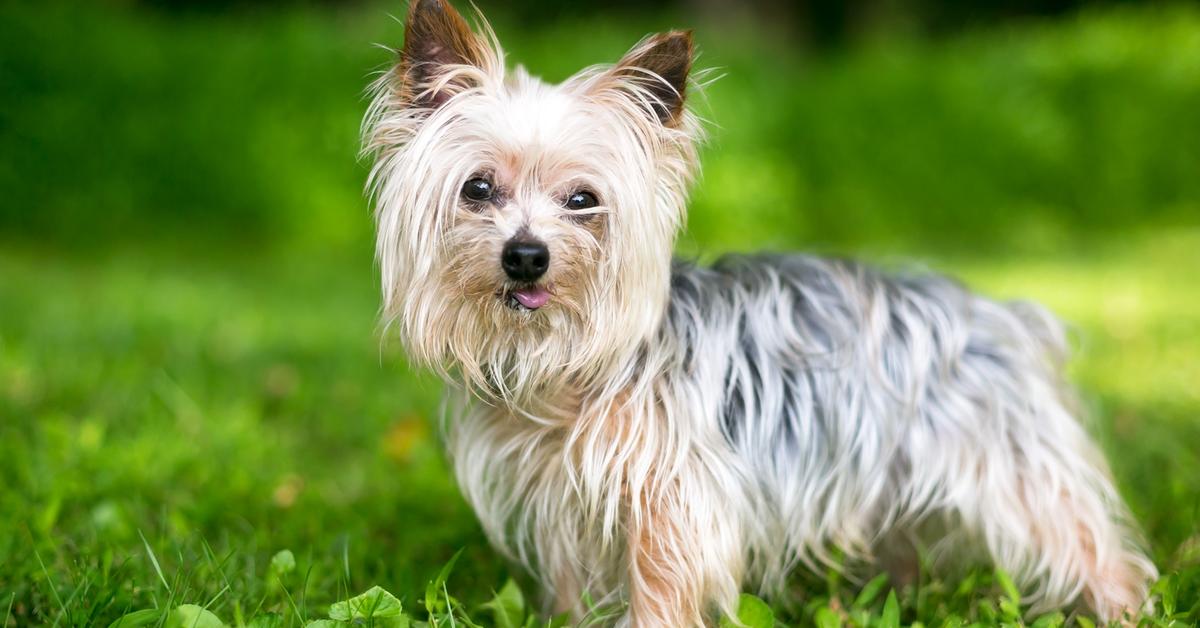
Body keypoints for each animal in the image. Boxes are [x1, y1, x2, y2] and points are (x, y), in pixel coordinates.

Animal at [360, 2, 1156, 624]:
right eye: (478, 188)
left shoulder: (672, 505)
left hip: (1013, 466)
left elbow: (660, 591)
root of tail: (995, 312)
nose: (526, 256)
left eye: (583, 199)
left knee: (1088, 542)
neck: (566, 368)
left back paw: (1125, 606)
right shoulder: (563, 504)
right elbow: (568, 590)